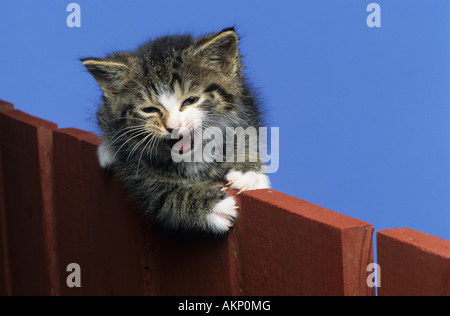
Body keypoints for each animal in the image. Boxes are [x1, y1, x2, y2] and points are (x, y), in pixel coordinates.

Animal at [81, 27, 270, 235]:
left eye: (191, 100)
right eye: (150, 109)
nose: (173, 126)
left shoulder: (245, 108)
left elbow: (245, 134)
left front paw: (247, 171)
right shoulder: (136, 169)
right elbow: (162, 197)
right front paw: (212, 207)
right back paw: (107, 151)